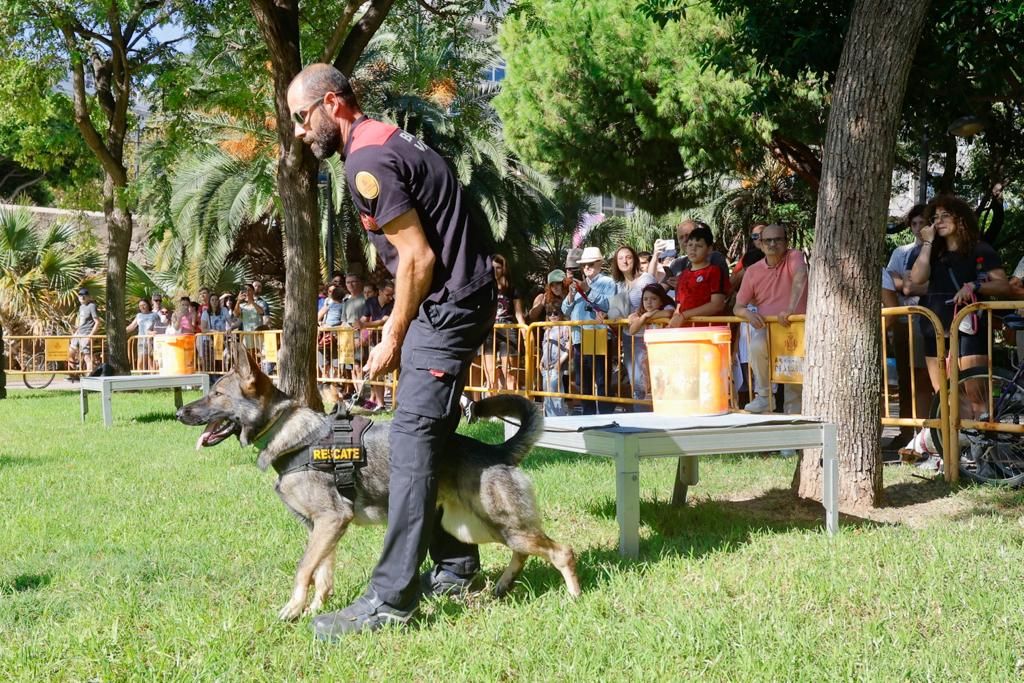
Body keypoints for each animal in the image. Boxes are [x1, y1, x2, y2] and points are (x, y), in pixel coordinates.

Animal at [173, 344, 581, 622]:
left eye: (216, 394)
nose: (180, 413)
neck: (286, 431)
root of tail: (497, 450)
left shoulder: (330, 521)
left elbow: (304, 570)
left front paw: (292, 610)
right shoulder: (324, 528)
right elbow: (322, 574)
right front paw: (315, 609)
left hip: (498, 523)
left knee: (562, 551)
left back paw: (574, 596)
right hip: (473, 527)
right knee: (524, 551)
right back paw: (503, 586)